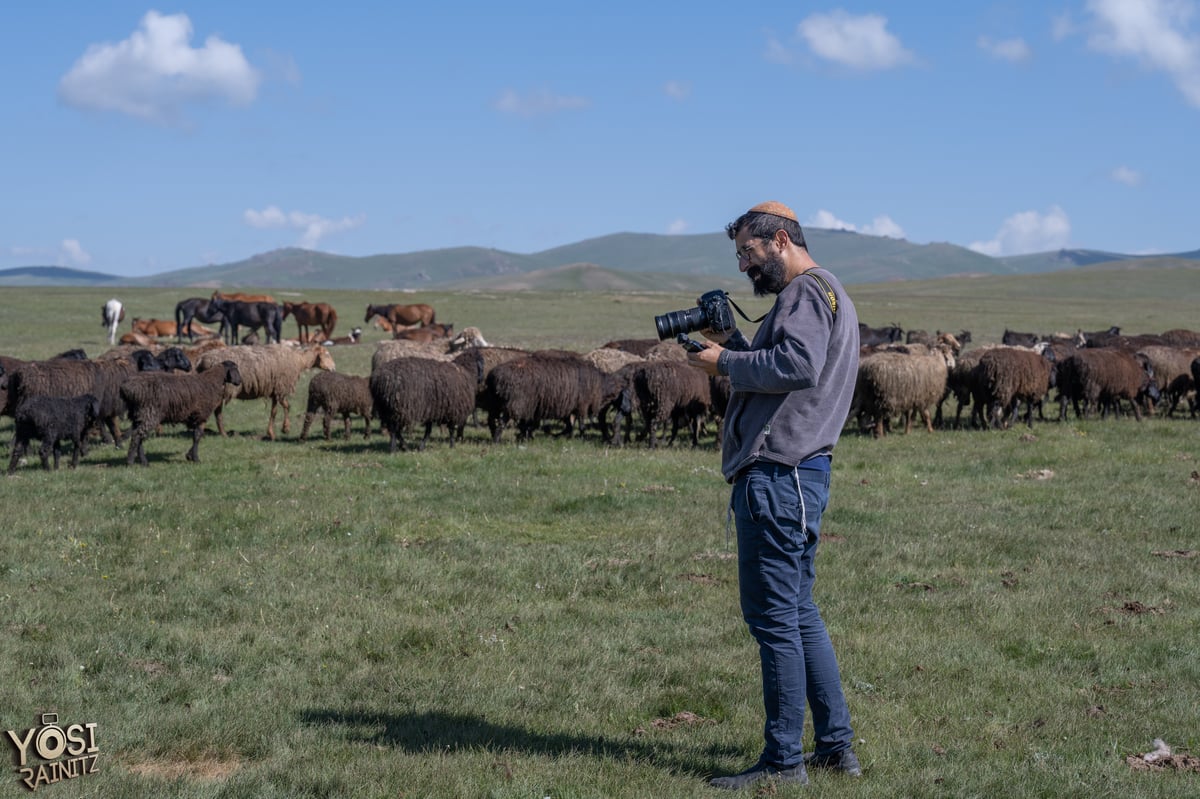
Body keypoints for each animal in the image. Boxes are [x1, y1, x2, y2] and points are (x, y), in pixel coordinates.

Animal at [196, 343, 336, 439]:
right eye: (327, 354)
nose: (334, 369)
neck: (298, 360)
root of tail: (203, 359)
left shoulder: (275, 391)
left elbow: (274, 412)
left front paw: (271, 433)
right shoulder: (281, 388)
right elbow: (287, 406)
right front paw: (285, 428)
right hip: (222, 388)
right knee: (217, 411)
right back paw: (222, 433)